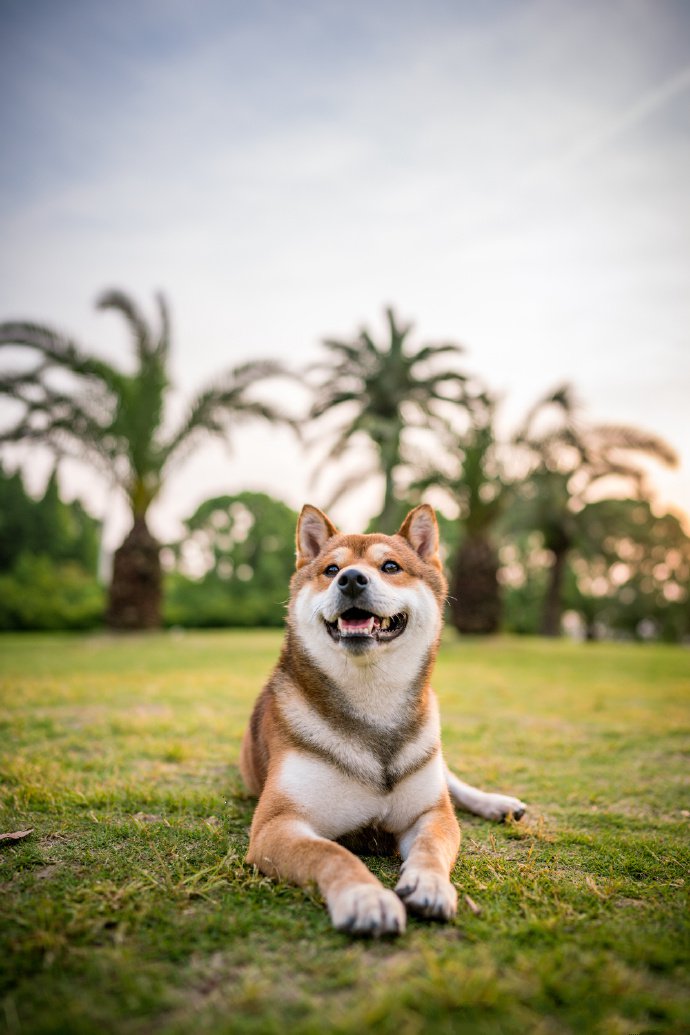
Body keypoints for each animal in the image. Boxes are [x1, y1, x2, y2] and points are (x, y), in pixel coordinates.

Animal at [239, 503, 525, 939]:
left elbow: (431, 845)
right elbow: (331, 853)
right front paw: (364, 897)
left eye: (390, 566)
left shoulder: (429, 814)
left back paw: (497, 803)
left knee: (452, 783)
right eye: (330, 569)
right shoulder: (278, 824)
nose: (351, 579)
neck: (372, 702)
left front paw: (430, 884)